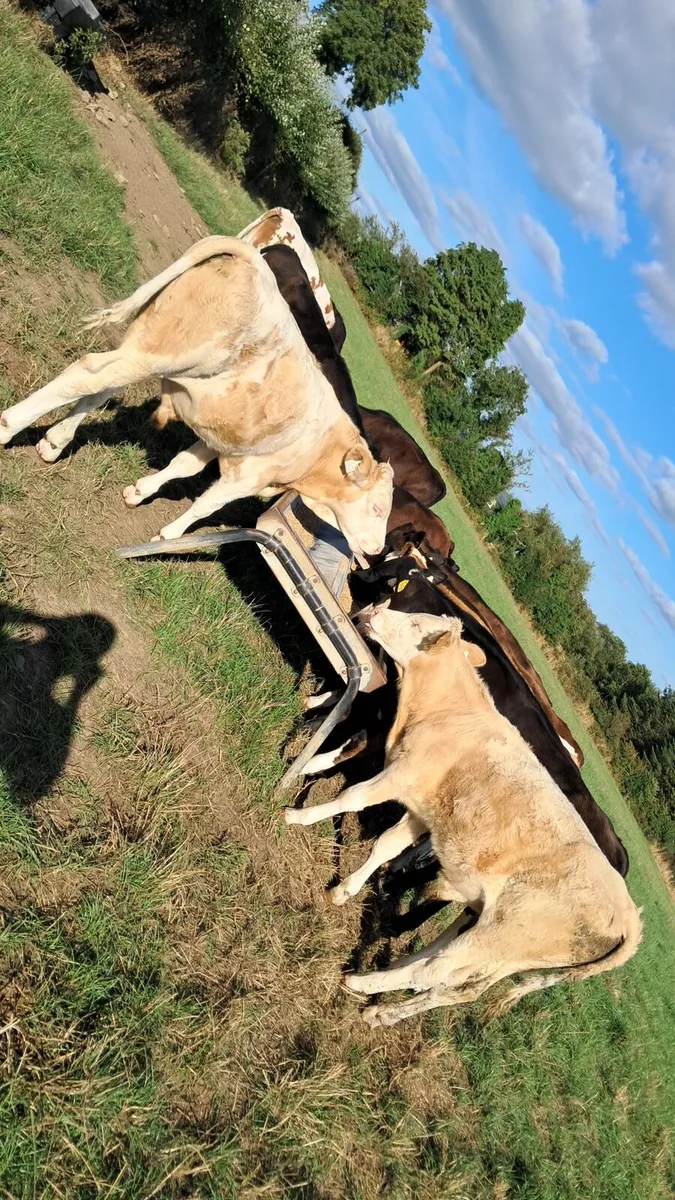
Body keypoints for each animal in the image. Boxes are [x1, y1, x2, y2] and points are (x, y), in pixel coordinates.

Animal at [0, 237, 393, 552]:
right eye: (377, 508)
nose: (376, 550)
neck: (320, 449)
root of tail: (252, 260)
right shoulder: (249, 475)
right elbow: (209, 504)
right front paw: (169, 535)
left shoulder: (221, 443)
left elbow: (183, 465)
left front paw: (140, 492)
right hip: (165, 354)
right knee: (87, 374)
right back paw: (8, 425)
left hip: (146, 344)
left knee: (99, 388)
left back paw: (54, 442)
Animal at [286, 607, 641, 1026]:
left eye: (417, 624)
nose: (373, 611)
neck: (450, 712)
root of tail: (629, 917)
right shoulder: (422, 807)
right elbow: (386, 845)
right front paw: (345, 890)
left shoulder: (400, 776)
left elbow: (351, 797)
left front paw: (297, 815)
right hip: (490, 935)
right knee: (449, 979)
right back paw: (383, 1004)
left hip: (497, 937)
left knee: (434, 971)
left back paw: (361, 983)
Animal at [299, 533, 629, 879]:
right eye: (388, 557)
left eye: (389, 578)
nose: (357, 574)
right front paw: (314, 707)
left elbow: (349, 739)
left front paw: (306, 755)